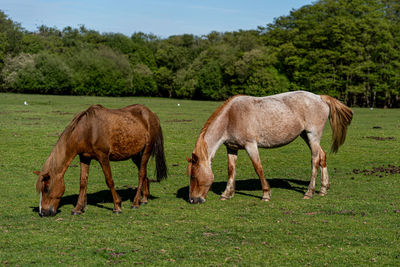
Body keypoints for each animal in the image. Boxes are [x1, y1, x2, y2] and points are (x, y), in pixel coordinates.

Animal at [32, 103, 167, 217]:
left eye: (46, 188)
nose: (42, 212)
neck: (87, 130)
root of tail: (151, 114)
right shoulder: (85, 157)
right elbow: (83, 182)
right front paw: (78, 208)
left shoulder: (103, 157)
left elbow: (109, 181)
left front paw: (117, 206)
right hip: (135, 155)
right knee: (144, 174)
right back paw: (144, 199)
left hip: (146, 151)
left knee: (141, 174)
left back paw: (135, 202)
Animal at [186, 91, 352, 204]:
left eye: (193, 175)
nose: (193, 200)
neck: (231, 117)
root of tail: (319, 97)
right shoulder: (232, 148)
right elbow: (231, 170)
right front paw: (227, 194)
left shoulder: (251, 145)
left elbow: (258, 168)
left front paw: (266, 194)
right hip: (306, 136)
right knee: (322, 156)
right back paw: (323, 189)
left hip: (313, 136)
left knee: (315, 160)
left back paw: (309, 192)